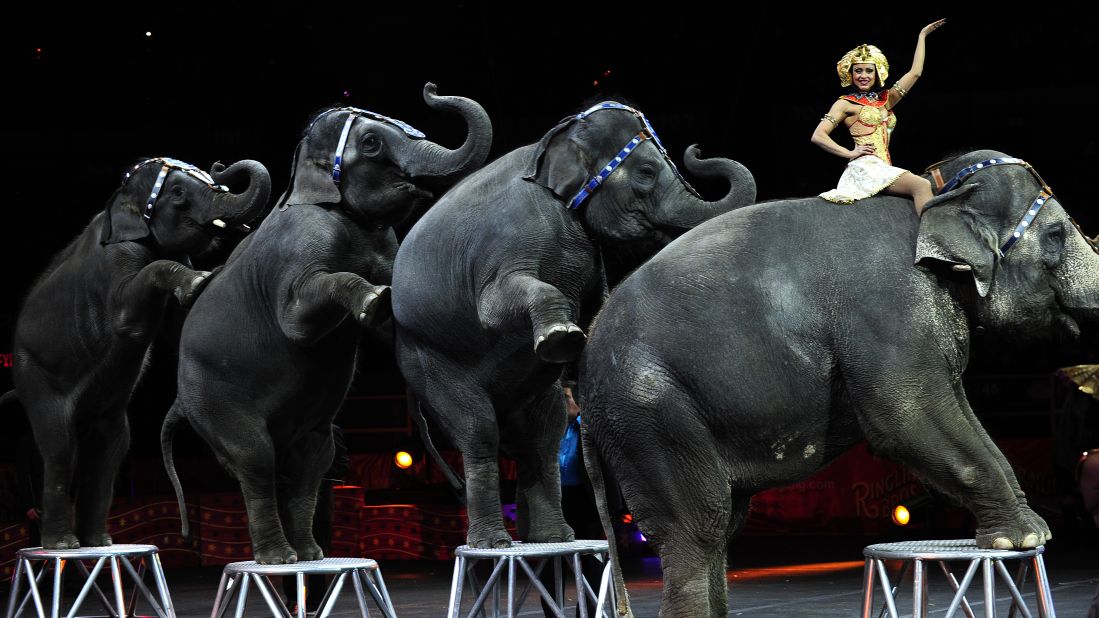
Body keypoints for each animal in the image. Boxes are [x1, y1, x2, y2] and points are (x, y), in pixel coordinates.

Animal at [5, 156, 271, 545]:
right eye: (178, 193)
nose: (221, 167)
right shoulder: (116, 258)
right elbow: (127, 318)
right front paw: (201, 280)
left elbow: (180, 328)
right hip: (35, 377)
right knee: (60, 447)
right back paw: (64, 545)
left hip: (107, 414)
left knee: (111, 447)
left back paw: (99, 542)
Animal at [160, 83, 492, 563]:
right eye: (371, 143)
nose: (431, 89)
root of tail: (179, 403)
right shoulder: (300, 248)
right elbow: (299, 319)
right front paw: (375, 301)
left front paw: (393, 311)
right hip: (213, 400)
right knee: (255, 460)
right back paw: (279, 558)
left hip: (302, 427)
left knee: (311, 462)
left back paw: (311, 554)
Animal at [391, 101, 760, 547]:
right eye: (646, 171)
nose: (698, 150)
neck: (554, 142)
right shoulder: (510, 238)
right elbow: (493, 308)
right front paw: (562, 339)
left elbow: (600, 304)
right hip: (426, 363)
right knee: (479, 430)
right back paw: (494, 543)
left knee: (543, 433)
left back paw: (550, 538)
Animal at [580, 150, 1094, 615]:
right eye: (1056, 234)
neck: (935, 195)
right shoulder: (887, 309)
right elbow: (907, 416)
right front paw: (1023, 536)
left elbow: (962, 413)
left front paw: (1034, 529)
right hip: (647, 411)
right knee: (696, 529)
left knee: (721, 525)